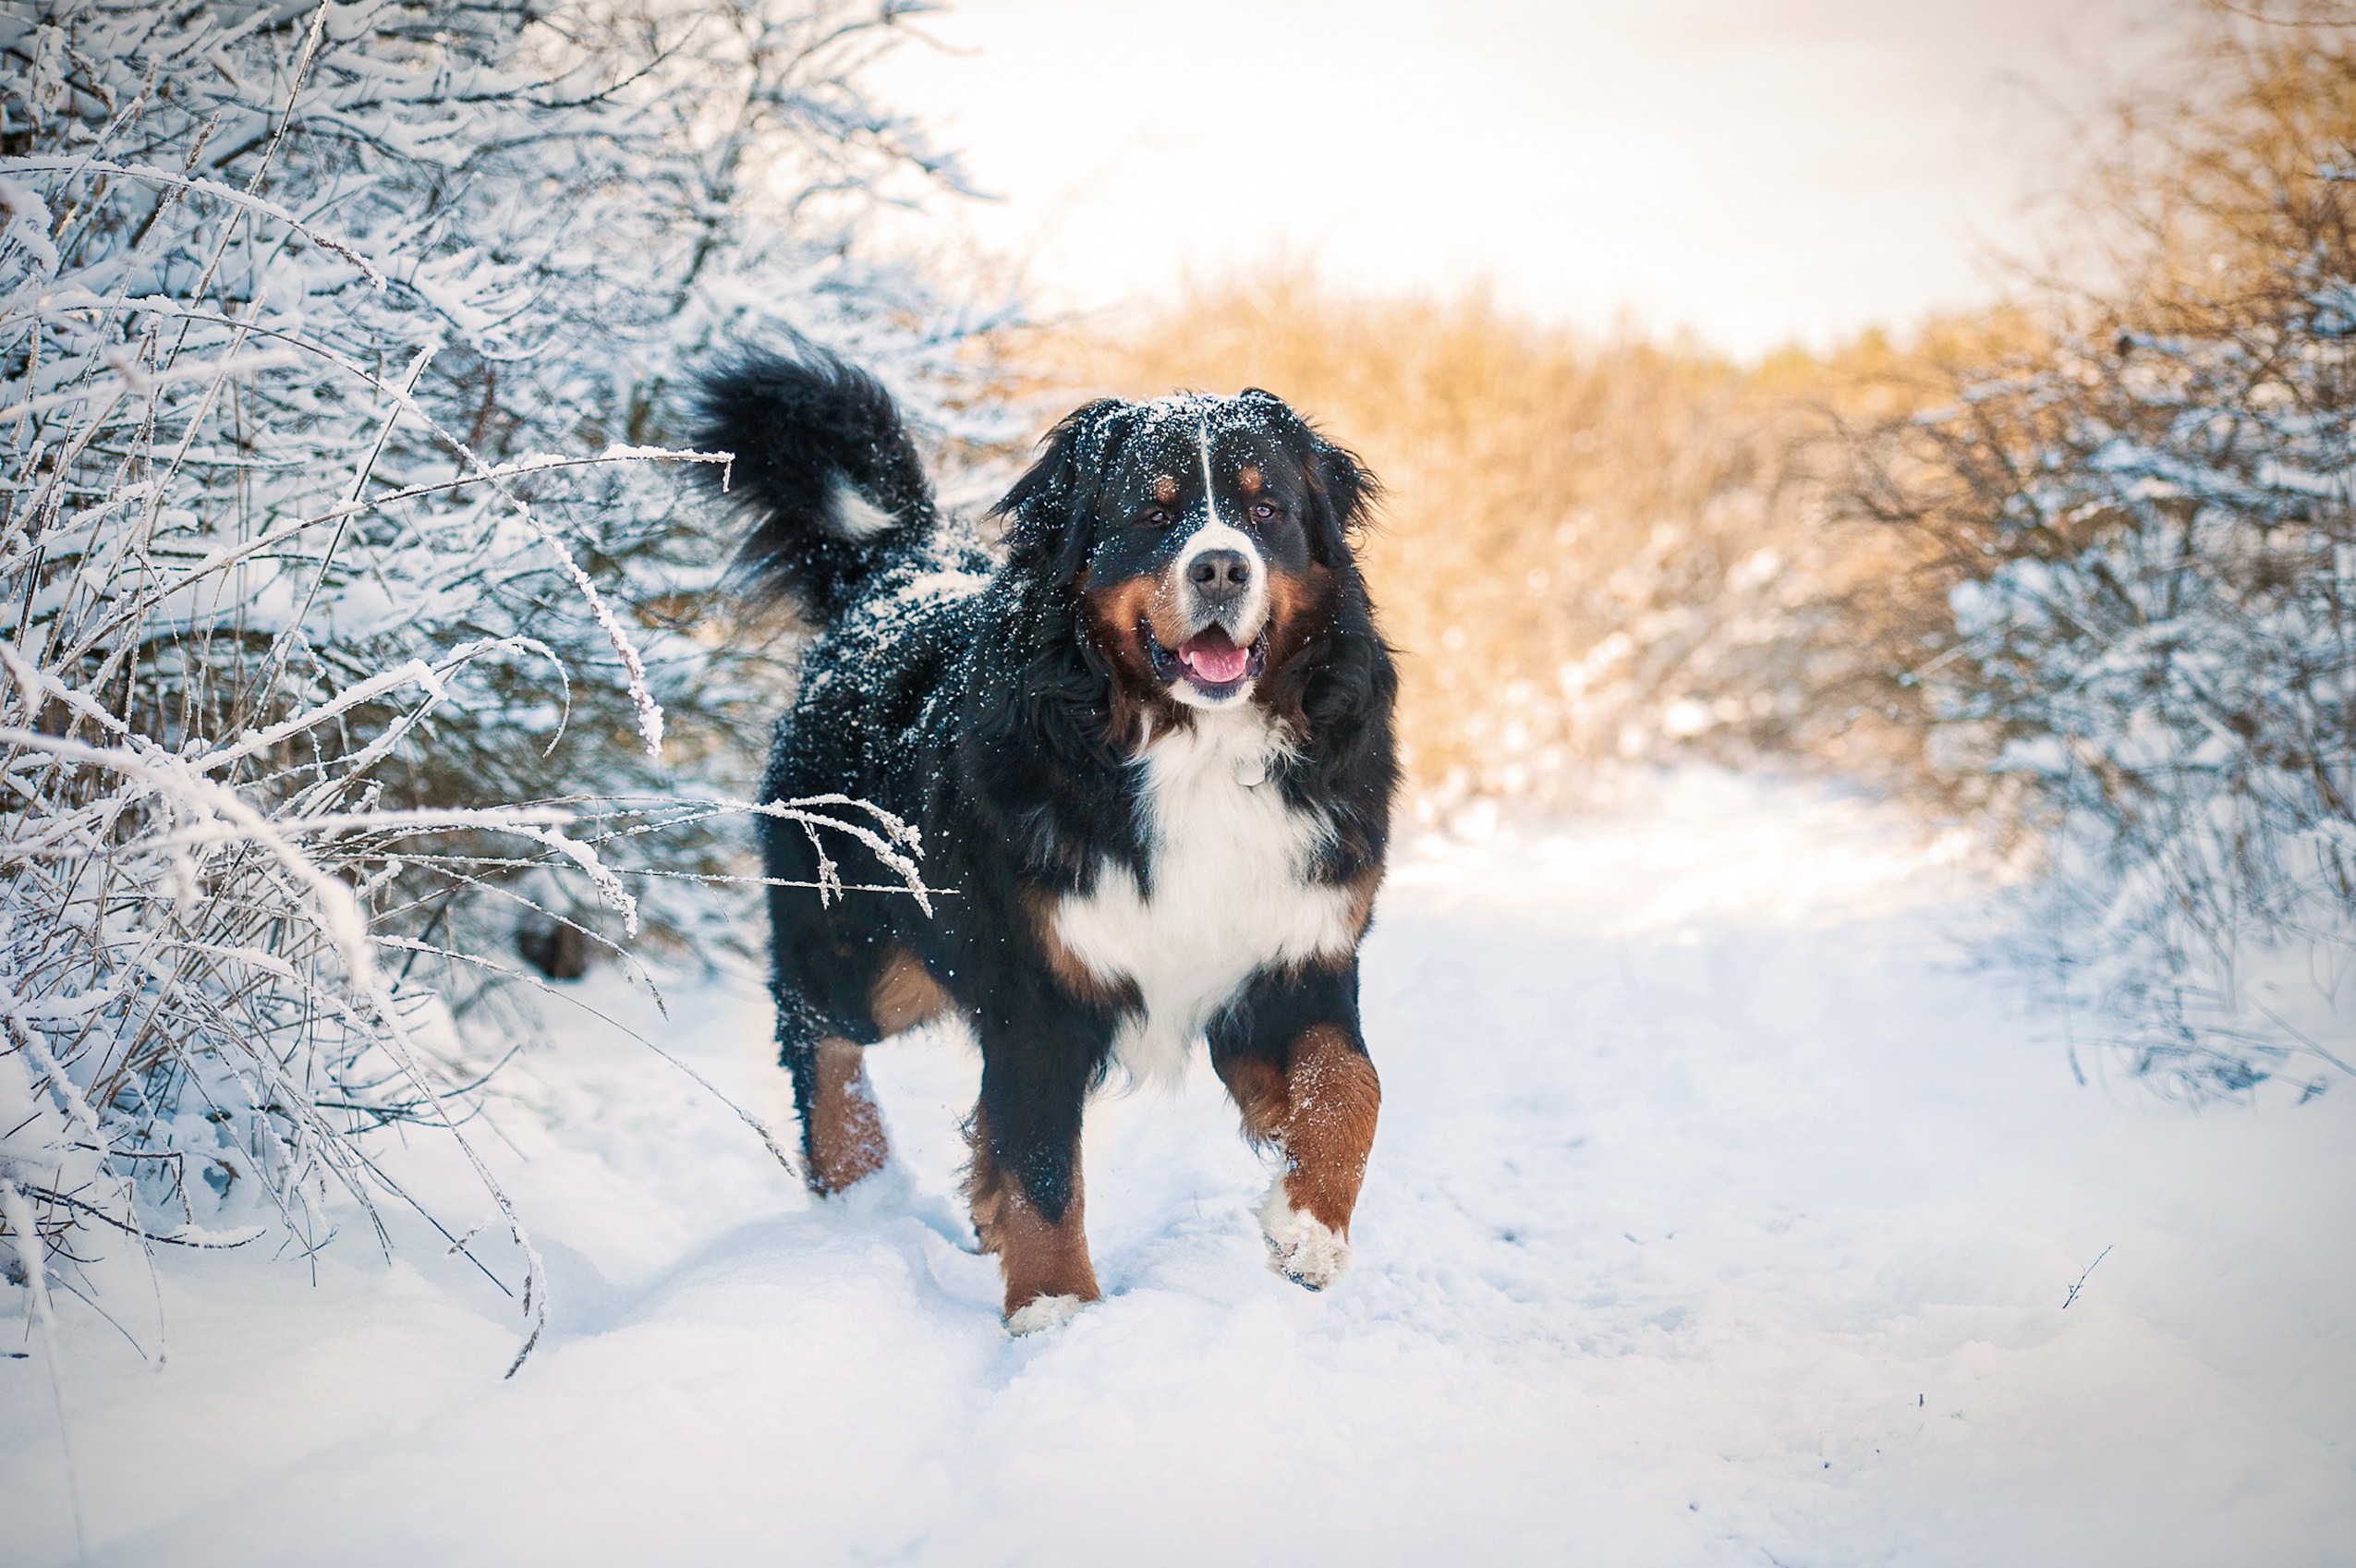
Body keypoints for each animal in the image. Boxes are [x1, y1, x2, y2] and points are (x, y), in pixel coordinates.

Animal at [697, 348, 1394, 1330]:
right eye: (1153, 512)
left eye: (1269, 511)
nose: (1222, 567)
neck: (1192, 748)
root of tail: (899, 571)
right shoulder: (1037, 984)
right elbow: (1043, 1166)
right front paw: (1055, 1308)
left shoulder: (1297, 950)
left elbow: (1350, 1087)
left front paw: (1309, 1229)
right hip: (872, 954)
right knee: (815, 1028)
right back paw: (859, 1181)